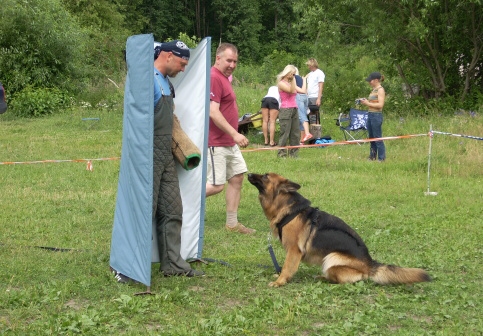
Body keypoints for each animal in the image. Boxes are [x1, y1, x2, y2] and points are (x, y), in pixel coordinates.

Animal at [248, 172, 432, 288]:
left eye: (265, 176)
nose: (248, 174)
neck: (288, 208)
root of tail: (370, 264)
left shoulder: (294, 251)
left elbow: (287, 267)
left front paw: (280, 281)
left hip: (332, 257)